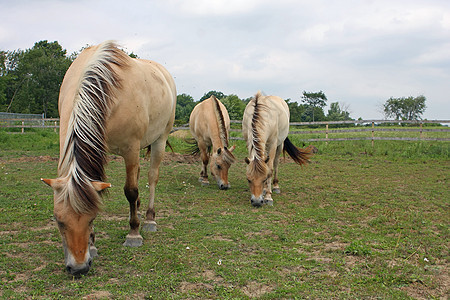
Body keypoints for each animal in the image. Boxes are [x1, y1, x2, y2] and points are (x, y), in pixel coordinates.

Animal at [40, 41, 176, 276]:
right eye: (58, 221)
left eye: (92, 218)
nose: (79, 268)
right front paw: (93, 246)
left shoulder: (130, 148)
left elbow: (130, 191)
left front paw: (133, 233)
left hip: (159, 139)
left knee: (151, 178)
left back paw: (149, 219)